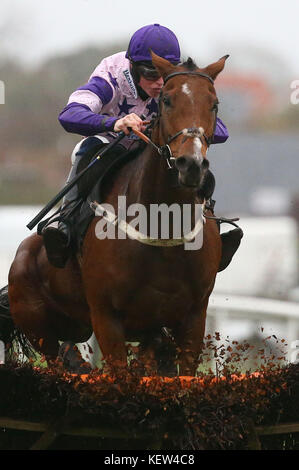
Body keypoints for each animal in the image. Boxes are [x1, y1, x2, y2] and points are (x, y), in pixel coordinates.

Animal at [4, 52, 227, 374]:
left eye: (214, 103)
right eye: (167, 100)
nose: (192, 165)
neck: (162, 228)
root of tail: (23, 253)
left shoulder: (192, 318)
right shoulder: (106, 317)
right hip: (39, 329)